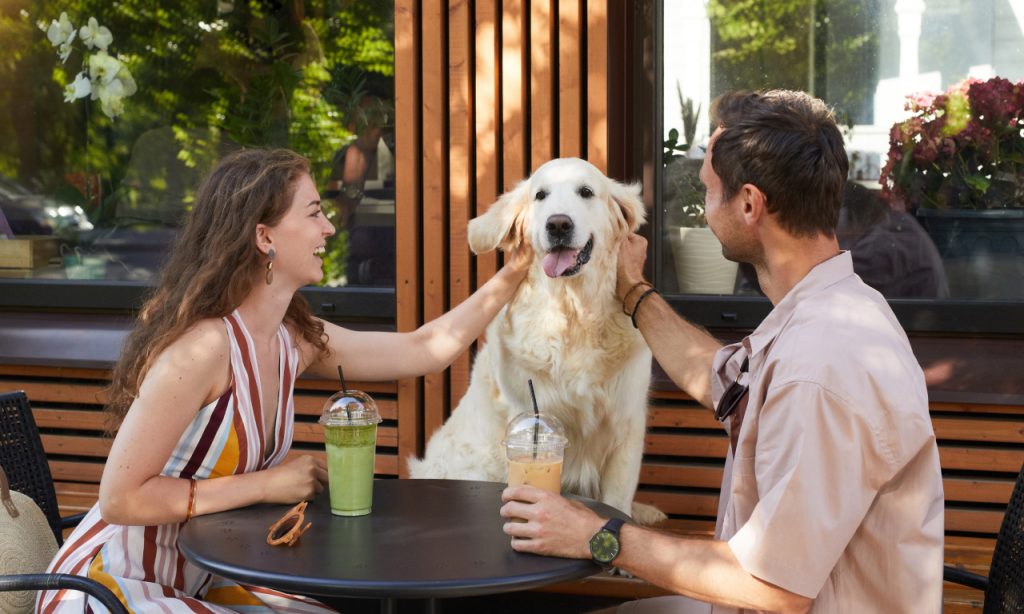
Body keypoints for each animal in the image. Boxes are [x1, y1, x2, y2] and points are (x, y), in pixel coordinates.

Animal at [407, 158, 663, 521]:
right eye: (540, 195)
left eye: (586, 192)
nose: (558, 224)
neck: (573, 314)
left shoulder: (626, 424)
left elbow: (617, 501)